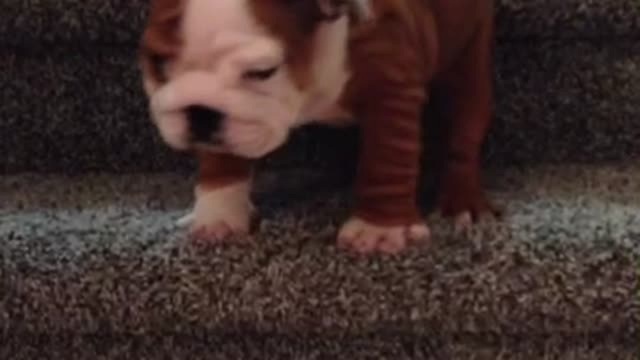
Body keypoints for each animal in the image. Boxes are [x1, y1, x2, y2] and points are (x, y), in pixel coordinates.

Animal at [139, 0, 500, 255]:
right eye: (158, 63)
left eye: (262, 73)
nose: (200, 112)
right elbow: (222, 159)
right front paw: (219, 214)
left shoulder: (392, 88)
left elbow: (386, 160)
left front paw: (379, 230)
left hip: (469, 56)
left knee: (463, 137)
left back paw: (462, 204)